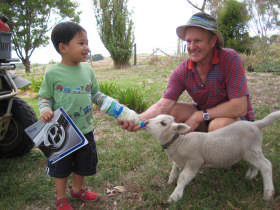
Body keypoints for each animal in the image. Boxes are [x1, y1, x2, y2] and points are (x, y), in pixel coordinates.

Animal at [144, 110, 280, 203]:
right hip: (251, 151)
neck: (179, 143)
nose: (145, 122)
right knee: (257, 164)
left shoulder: (195, 161)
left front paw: (175, 196)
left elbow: (183, 178)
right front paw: (171, 179)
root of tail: (256, 124)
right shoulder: (179, 159)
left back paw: (268, 193)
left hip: (251, 150)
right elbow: (175, 167)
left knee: (266, 165)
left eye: (163, 123)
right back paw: (250, 175)